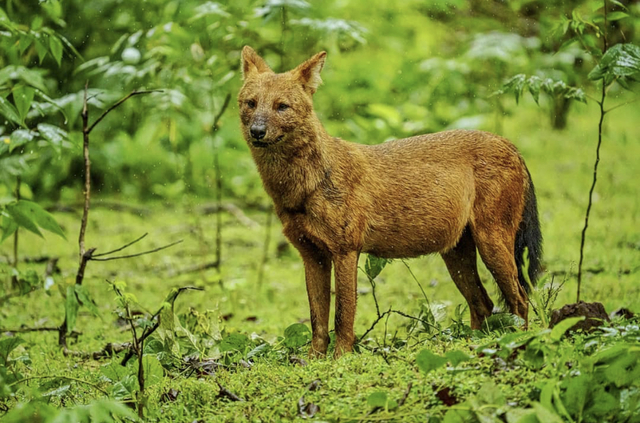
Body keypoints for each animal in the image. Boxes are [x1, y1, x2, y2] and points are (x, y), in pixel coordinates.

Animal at [238, 45, 544, 358]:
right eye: (251, 103)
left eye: (282, 106)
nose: (257, 131)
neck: (304, 186)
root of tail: (512, 145)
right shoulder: (312, 255)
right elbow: (317, 319)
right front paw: (314, 361)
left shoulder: (345, 251)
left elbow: (343, 315)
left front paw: (341, 360)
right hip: (456, 254)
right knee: (483, 303)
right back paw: (471, 346)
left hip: (492, 242)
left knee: (520, 300)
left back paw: (516, 343)